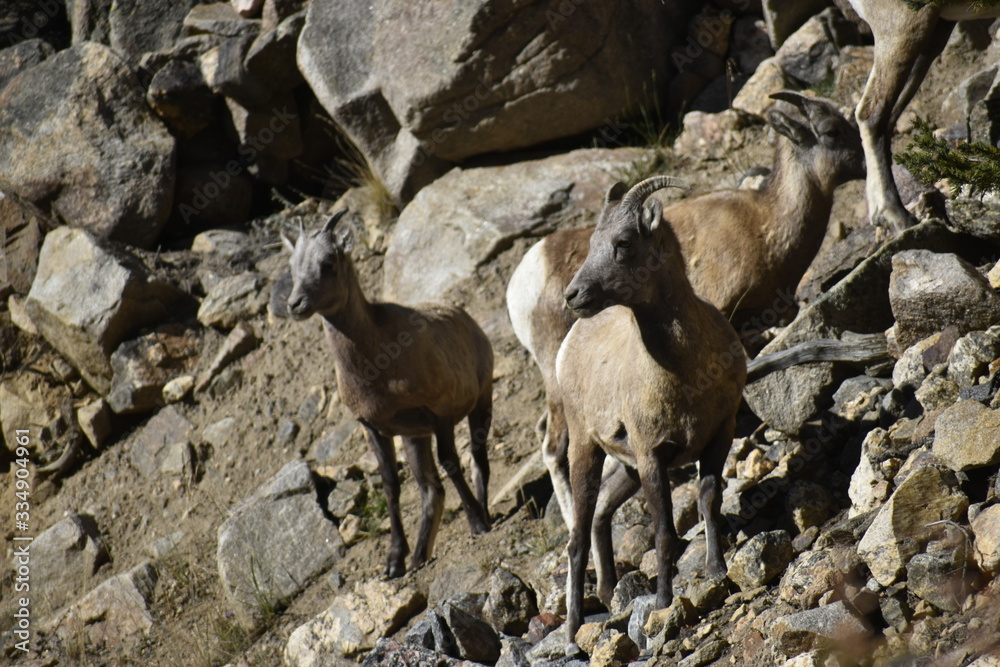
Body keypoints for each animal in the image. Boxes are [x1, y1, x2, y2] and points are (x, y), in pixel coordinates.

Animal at [284, 210, 494, 580]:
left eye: (328, 263)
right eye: (293, 268)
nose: (295, 304)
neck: (378, 361)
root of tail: (469, 321)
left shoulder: (439, 417)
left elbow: (452, 464)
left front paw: (477, 524)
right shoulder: (376, 429)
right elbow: (391, 485)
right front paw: (394, 561)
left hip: (479, 405)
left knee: (477, 460)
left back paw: (484, 515)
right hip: (414, 438)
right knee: (431, 490)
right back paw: (419, 558)